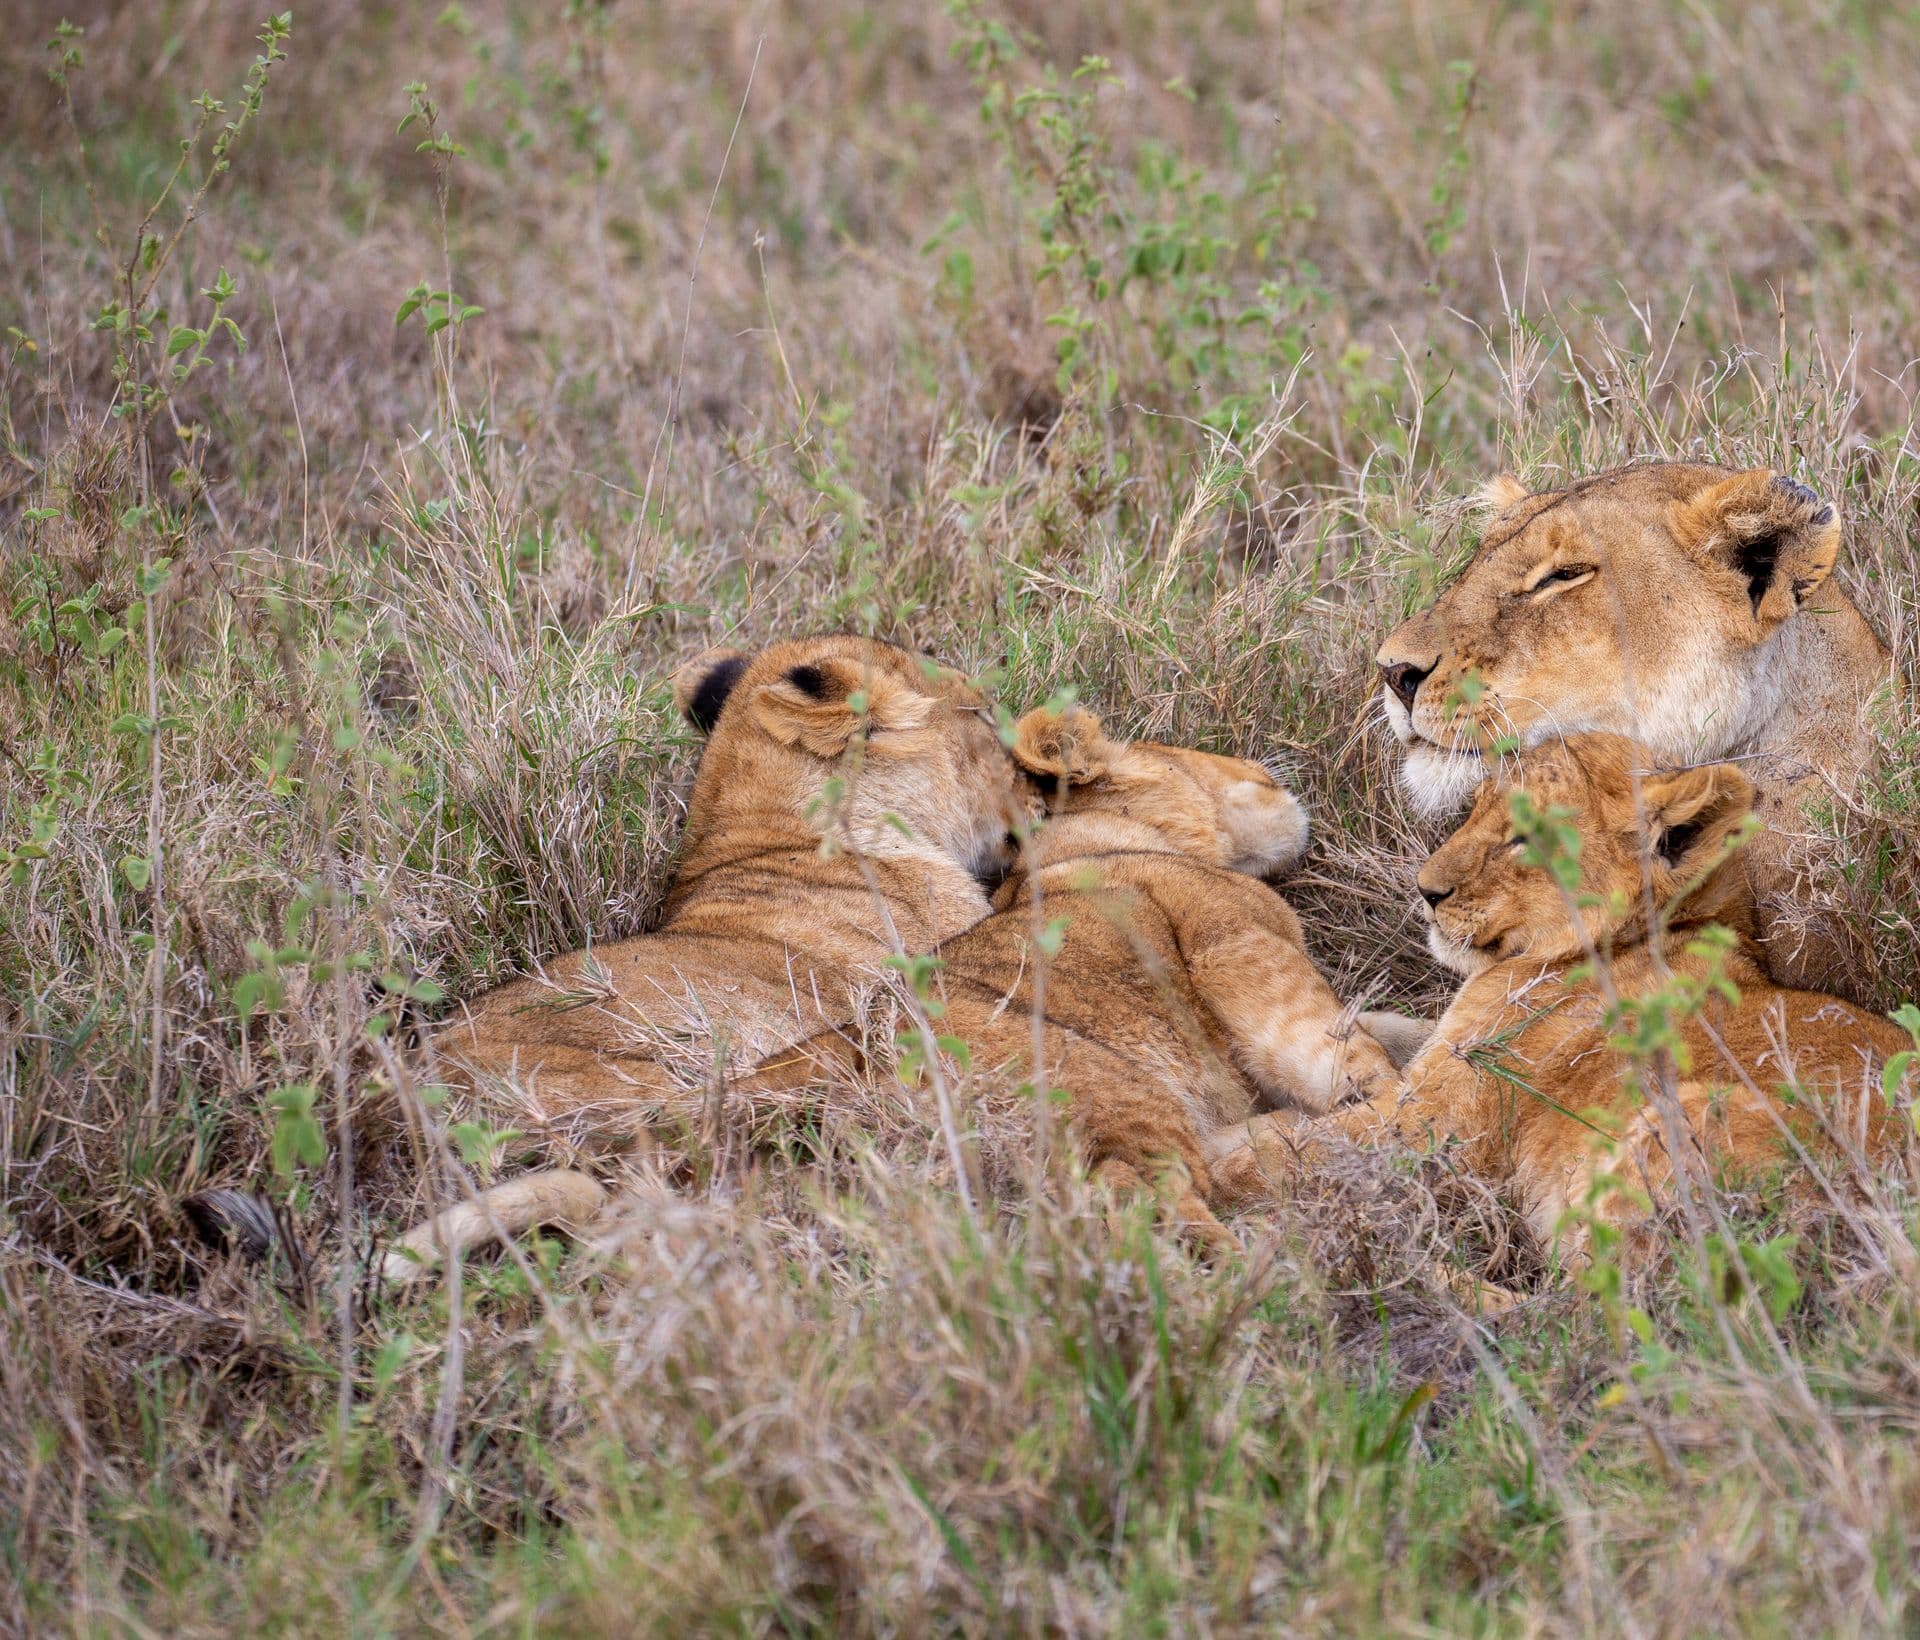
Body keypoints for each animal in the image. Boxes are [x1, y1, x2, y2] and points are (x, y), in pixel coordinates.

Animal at [380, 705, 1402, 1276]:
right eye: (1194, 756)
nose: (1269, 770)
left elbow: (1398, 1025)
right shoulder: (1241, 954)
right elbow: (1357, 1058)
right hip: (1112, 1092)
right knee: (1161, 1214)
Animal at [1208, 732, 1911, 1270]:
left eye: (1526, 835)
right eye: (1475, 808)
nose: (1426, 890)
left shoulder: (1436, 1126)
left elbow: (1284, 1156)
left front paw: (1195, 1182)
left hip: (1668, 1129)